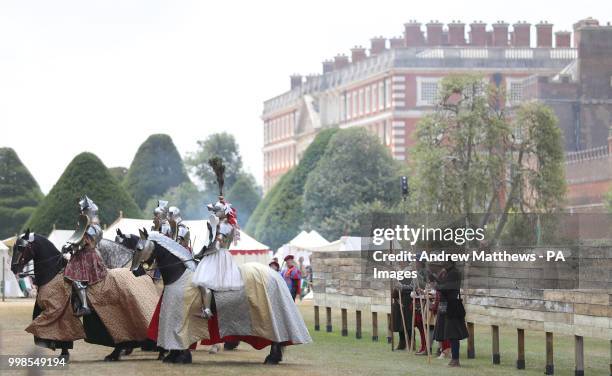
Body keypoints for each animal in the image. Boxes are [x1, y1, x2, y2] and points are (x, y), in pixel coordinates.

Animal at [11, 229, 152, 362]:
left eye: (20, 247)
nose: (13, 268)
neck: (52, 272)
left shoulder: (56, 310)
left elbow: (58, 331)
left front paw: (63, 354)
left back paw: (114, 355)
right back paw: (115, 354)